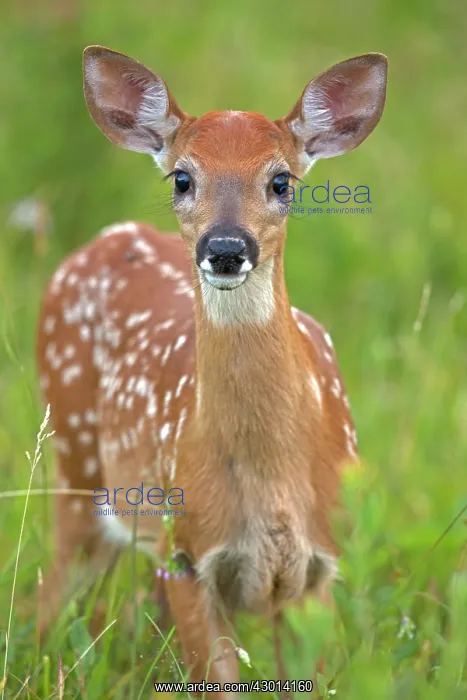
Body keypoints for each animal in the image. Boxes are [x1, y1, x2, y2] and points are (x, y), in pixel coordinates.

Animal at [36, 46, 387, 696]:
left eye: (281, 181)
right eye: (182, 177)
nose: (225, 249)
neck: (272, 479)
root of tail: (104, 238)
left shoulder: (319, 566)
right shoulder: (191, 554)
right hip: (75, 467)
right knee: (46, 603)